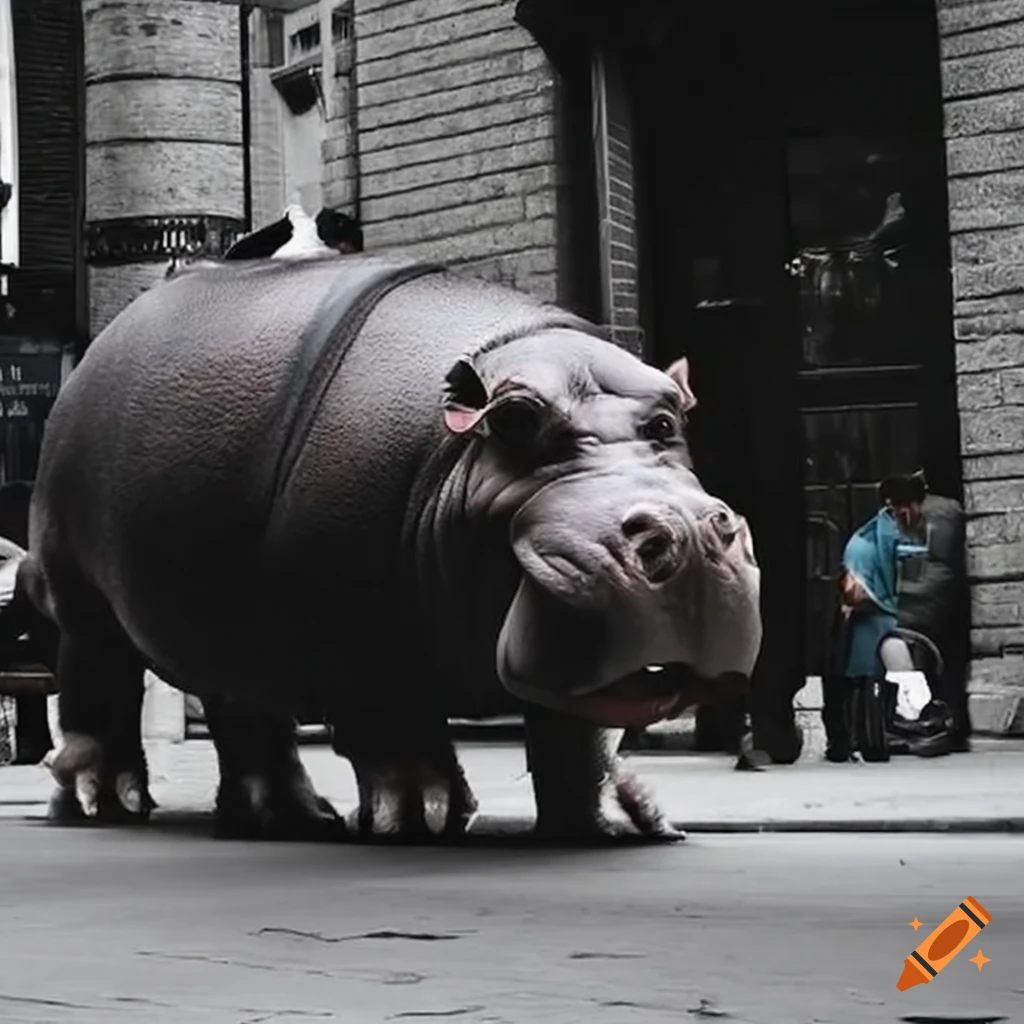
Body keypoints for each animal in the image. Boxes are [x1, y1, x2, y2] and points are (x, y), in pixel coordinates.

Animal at [17, 254, 762, 842]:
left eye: (668, 418)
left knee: (246, 714)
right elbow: (392, 724)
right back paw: (104, 804)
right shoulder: (354, 631)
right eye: (515, 419)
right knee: (98, 689)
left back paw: (290, 818)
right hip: (82, 597)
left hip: (228, 632)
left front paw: (630, 825)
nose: (688, 533)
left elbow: (580, 737)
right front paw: (421, 817)